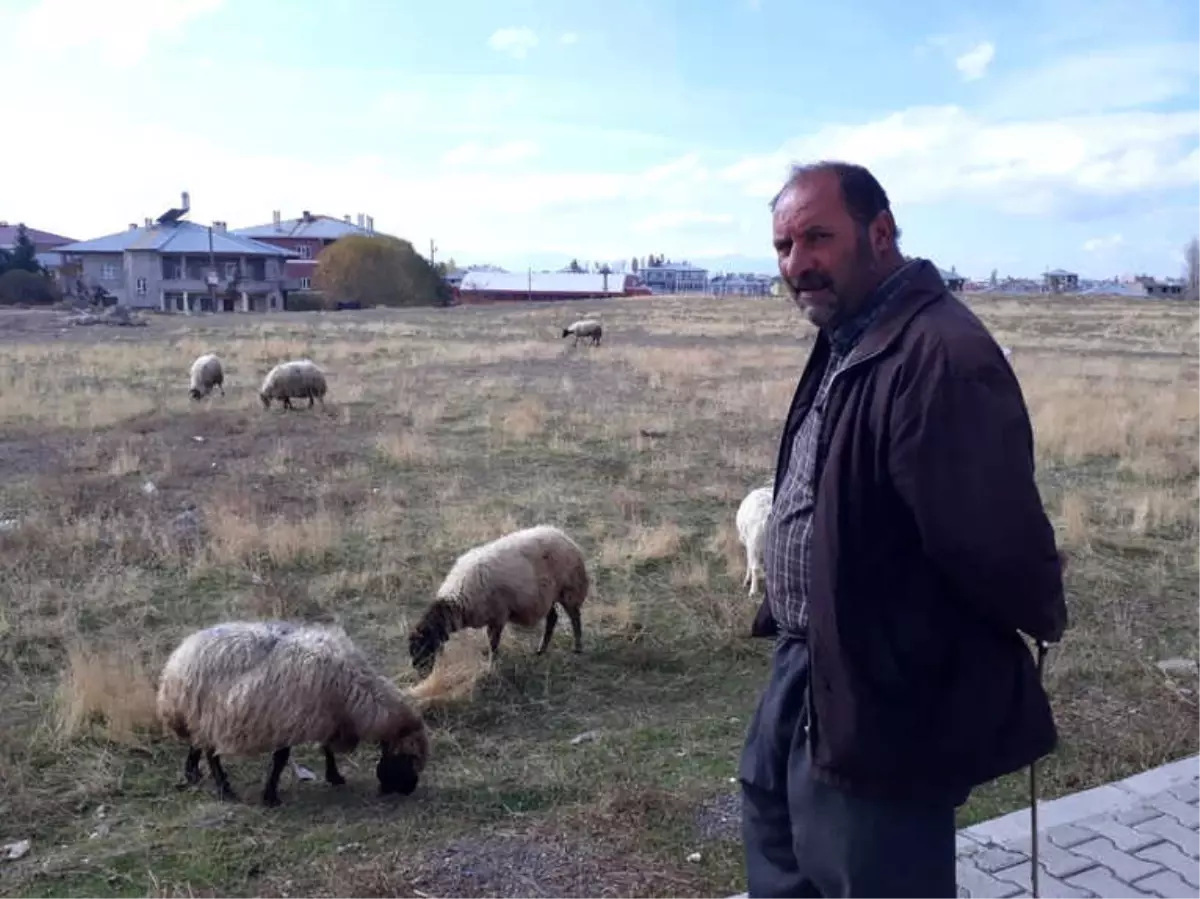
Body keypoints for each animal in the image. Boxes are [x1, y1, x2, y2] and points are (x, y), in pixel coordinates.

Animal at [153, 619, 427, 806]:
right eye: (411, 757)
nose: (410, 789)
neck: (354, 692)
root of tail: (176, 661)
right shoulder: (290, 721)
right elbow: (281, 760)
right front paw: (270, 796)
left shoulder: (324, 718)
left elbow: (326, 749)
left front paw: (334, 776)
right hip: (211, 715)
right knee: (211, 754)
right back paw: (224, 789)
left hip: (199, 716)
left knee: (197, 744)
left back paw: (192, 773)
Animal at [408, 523, 590, 676]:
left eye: (424, 646)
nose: (421, 674)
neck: (459, 599)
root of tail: (562, 535)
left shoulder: (497, 616)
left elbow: (493, 643)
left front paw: (491, 666)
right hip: (548, 595)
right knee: (553, 618)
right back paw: (541, 649)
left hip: (569, 589)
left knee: (575, 617)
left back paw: (577, 647)